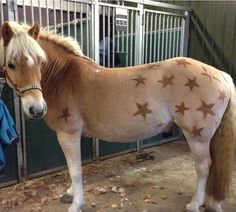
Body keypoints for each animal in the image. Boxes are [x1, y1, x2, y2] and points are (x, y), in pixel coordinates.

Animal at [0, 22, 235, 212]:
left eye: (40, 62)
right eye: (11, 64)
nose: (36, 109)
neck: (64, 77)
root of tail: (221, 75)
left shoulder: (68, 134)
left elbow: (75, 171)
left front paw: (76, 203)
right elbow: (73, 168)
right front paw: (70, 193)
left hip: (197, 136)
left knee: (204, 167)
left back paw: (195, 204)